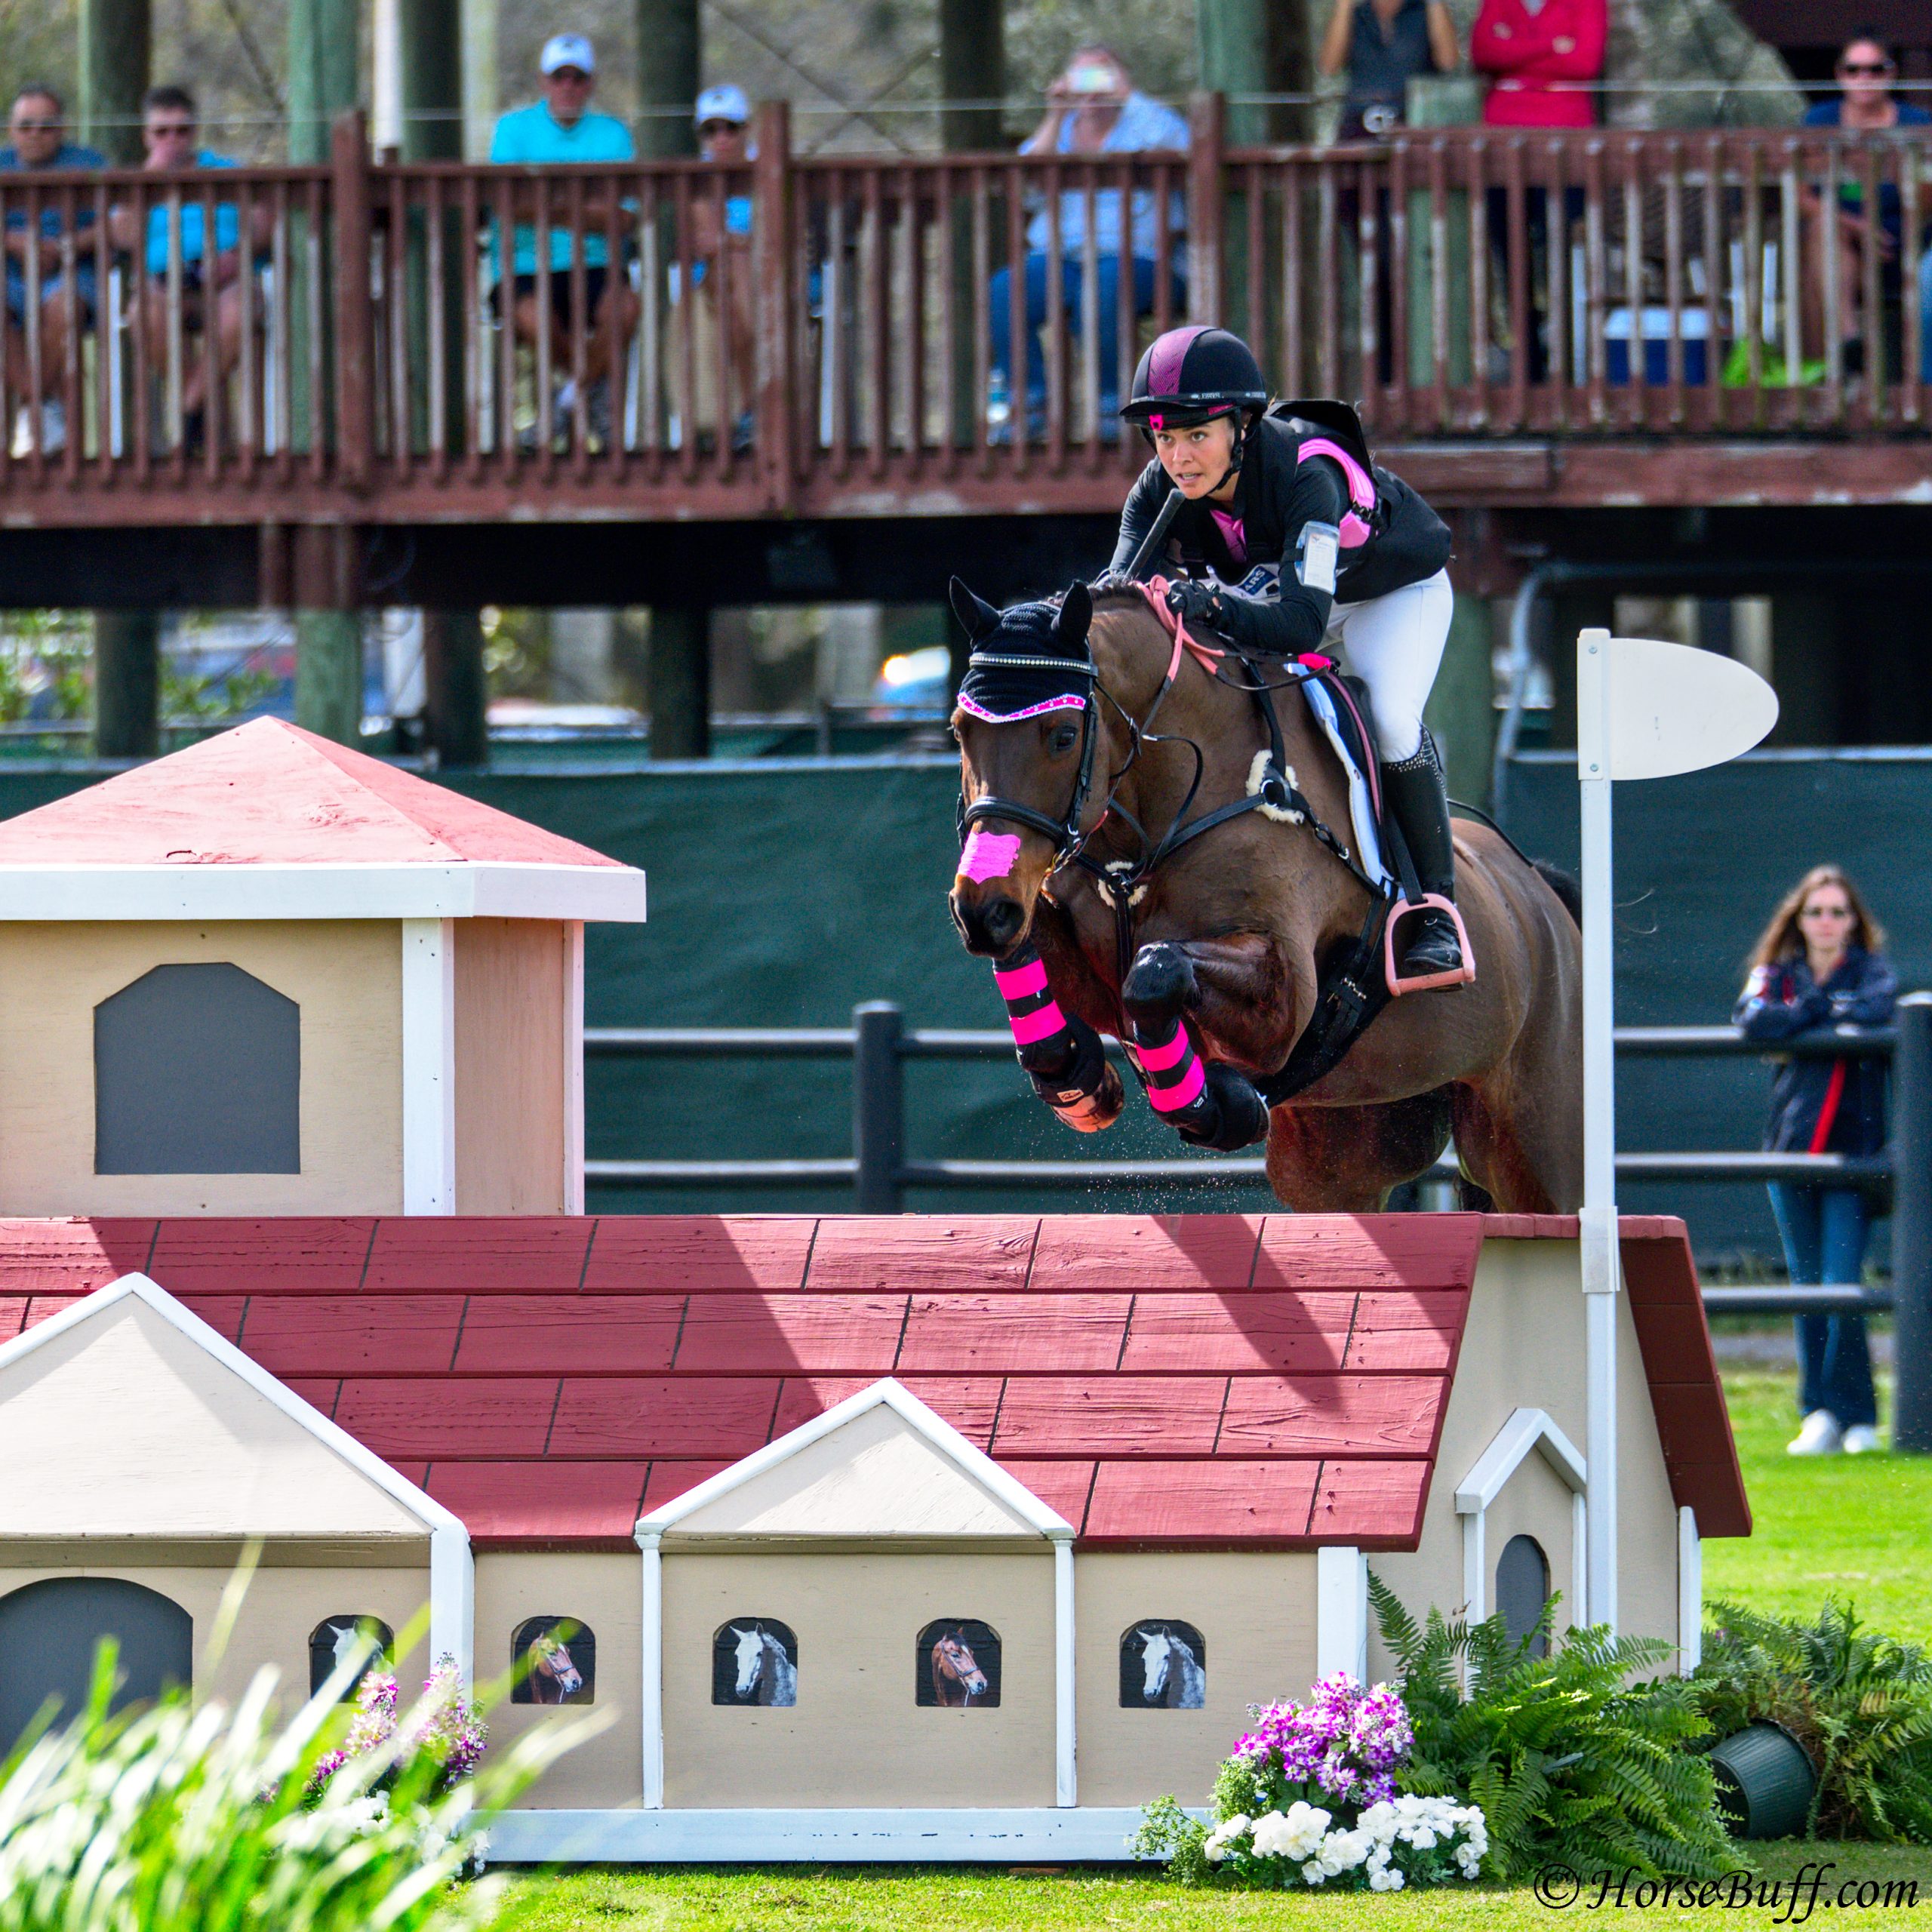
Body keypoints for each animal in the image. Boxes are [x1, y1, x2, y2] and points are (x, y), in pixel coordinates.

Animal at [943, 571, 1576, 1205]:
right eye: (959, 730)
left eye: (1064, 735)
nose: (982, 910)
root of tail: (1542, 896)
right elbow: (1029, 959)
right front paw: (1078, 1080)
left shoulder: (1285, 997)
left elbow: (1156, 972)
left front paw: (1214, 1106)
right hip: (1343, 1157)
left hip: (1535, 1151)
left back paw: (1436, 942)